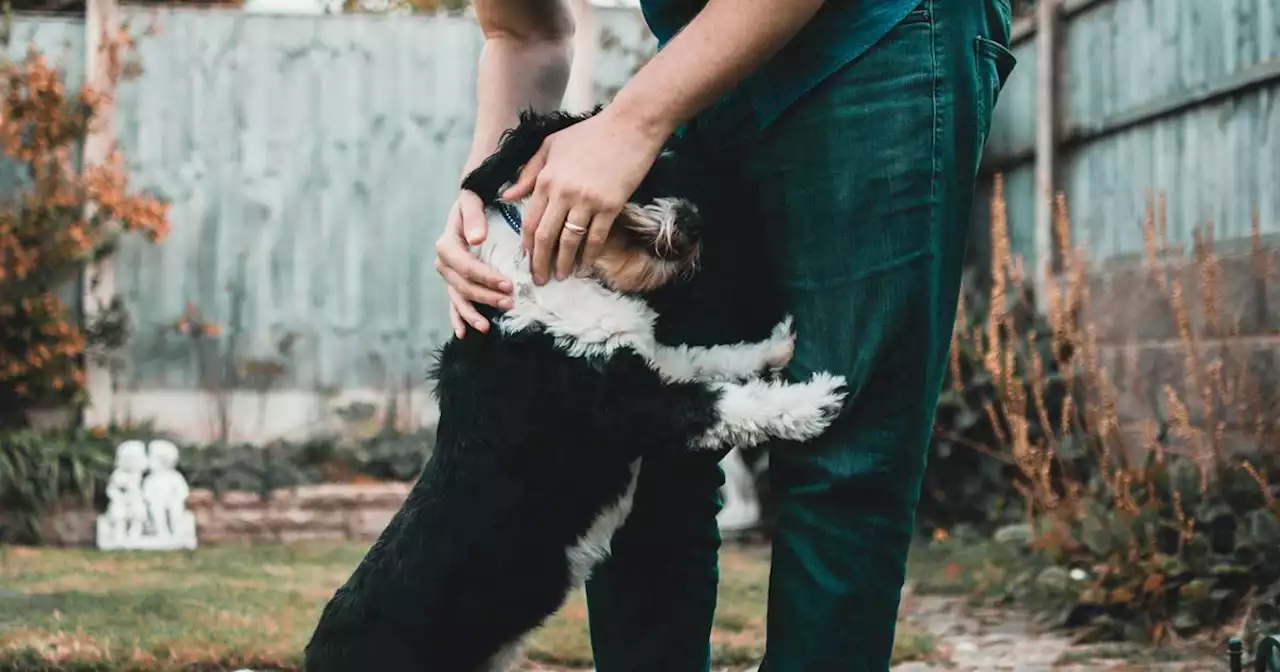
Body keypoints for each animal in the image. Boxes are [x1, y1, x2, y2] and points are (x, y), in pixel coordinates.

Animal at [302, 110, 849, 670]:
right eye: (640, 171)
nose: (697, 224)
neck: (544, 276)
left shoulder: (651, 362)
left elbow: (709, 358)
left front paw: (776, 346)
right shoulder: (629, 405)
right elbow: (725, 402)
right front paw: (814, 401)